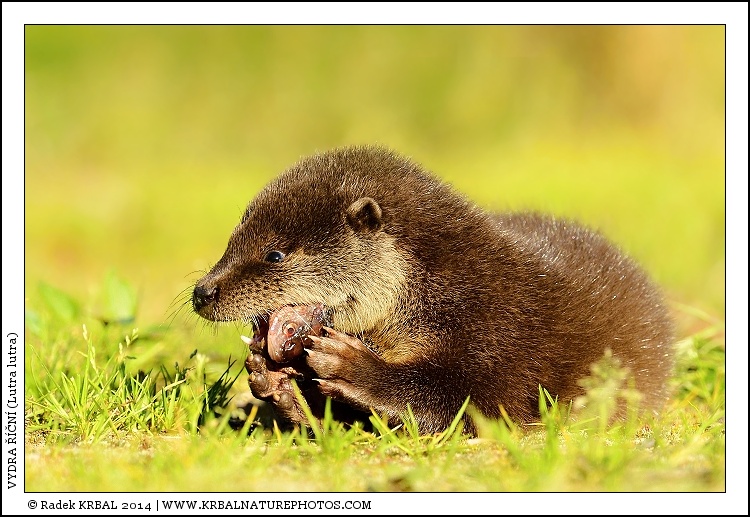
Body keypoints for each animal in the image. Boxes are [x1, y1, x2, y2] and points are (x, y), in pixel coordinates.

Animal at [192, 146, 674, 434]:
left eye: (274, 254)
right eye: (232, 242)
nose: (202, 292)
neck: (443, 290)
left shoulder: (501, 333)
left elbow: (473, 403)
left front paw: (356, 370)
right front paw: (276, 381)